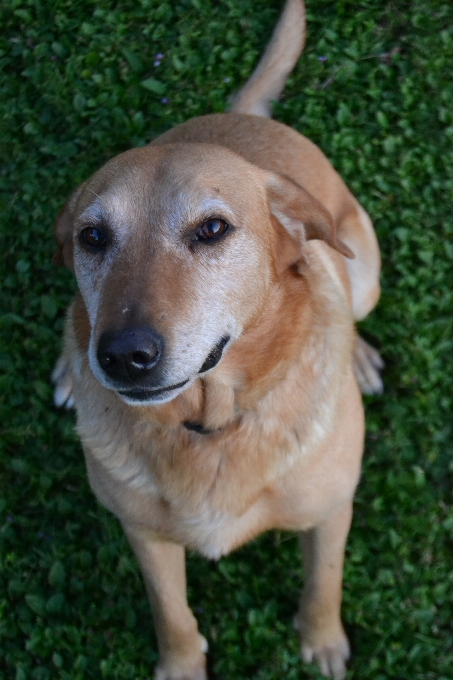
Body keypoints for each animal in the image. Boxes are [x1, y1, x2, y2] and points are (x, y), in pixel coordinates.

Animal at [51, 2, 384, 676]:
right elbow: (171, 612)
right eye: (92, 237)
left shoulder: (332, 512)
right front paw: (181, 665)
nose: (122, 356)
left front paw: (322, 641)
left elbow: (324, 582)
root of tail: (241, 116)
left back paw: (359, 358)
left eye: (211, 230)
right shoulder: (144, 534)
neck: (213, 423)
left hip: (364, 261)